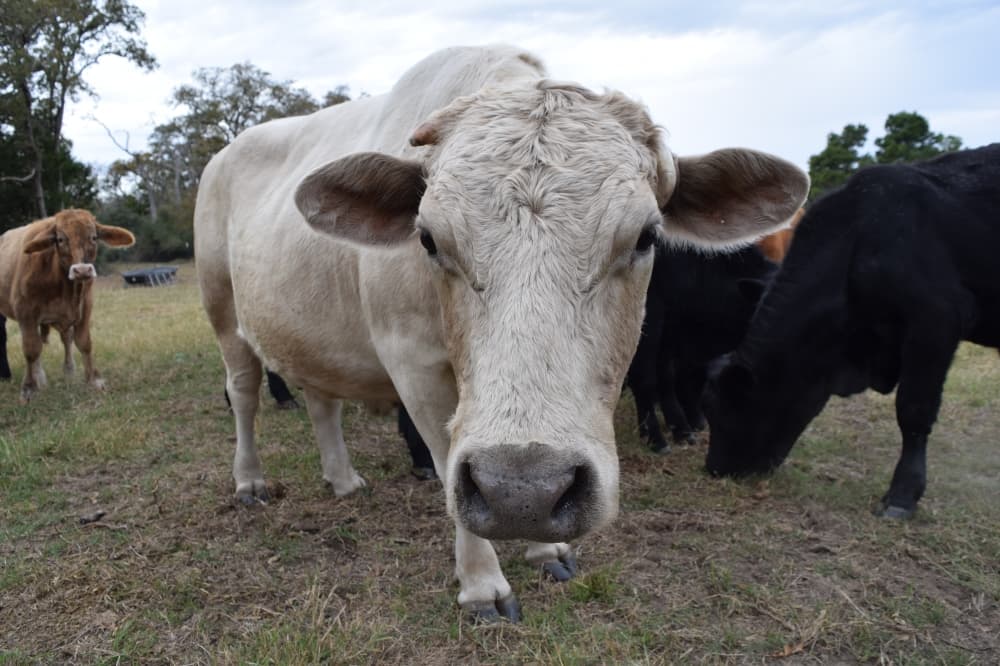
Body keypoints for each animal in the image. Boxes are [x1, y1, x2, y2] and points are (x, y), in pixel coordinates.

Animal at [0, 209, 135, 402]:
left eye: (93, 237)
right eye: (60, 239)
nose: (82, 270)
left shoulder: (84, 308)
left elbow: (84, 343)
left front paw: (94, 379)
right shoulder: (25, 313)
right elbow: (31, 350)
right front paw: (29, 388)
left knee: (66, 338)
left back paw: (68, 370)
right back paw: (39, 376)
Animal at [626, 242, 777, 451]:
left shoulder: (670, 328)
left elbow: (667, 377)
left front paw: (681, 428)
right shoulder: (650, 317)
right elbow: (645, 378)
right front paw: (655, 437)